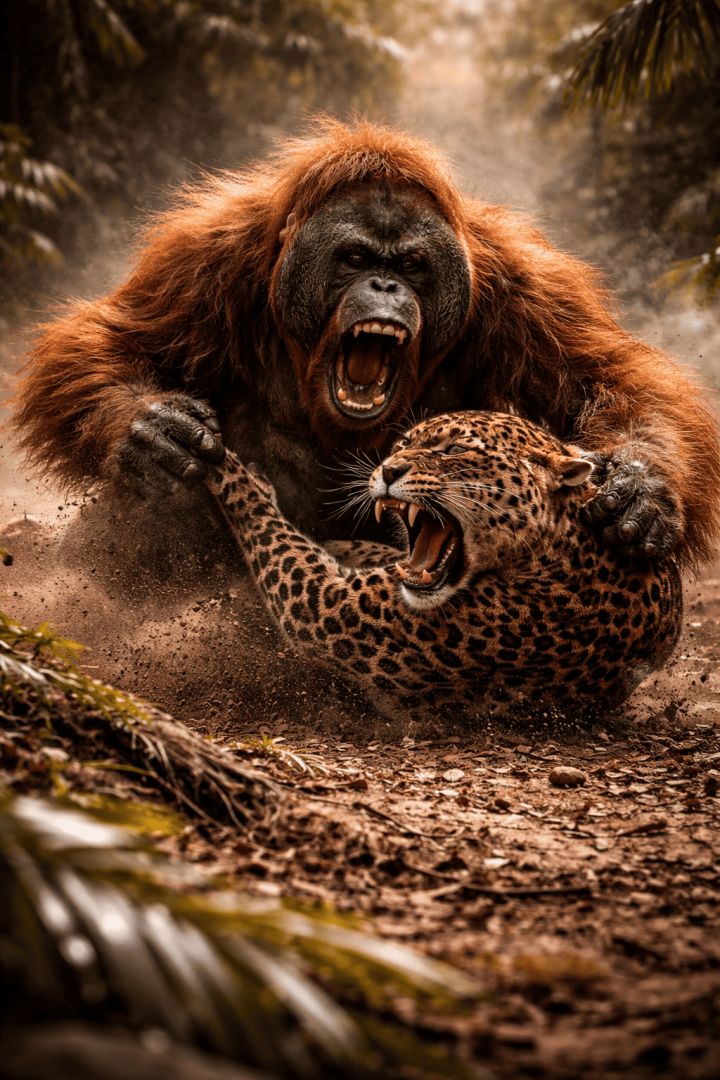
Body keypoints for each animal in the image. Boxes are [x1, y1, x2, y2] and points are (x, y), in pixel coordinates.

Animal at [205, 411, 682, 721]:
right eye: (403, 444)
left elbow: (262, 521)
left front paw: (224, 464)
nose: (388, 469)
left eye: (453, 450)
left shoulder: (327, 606)